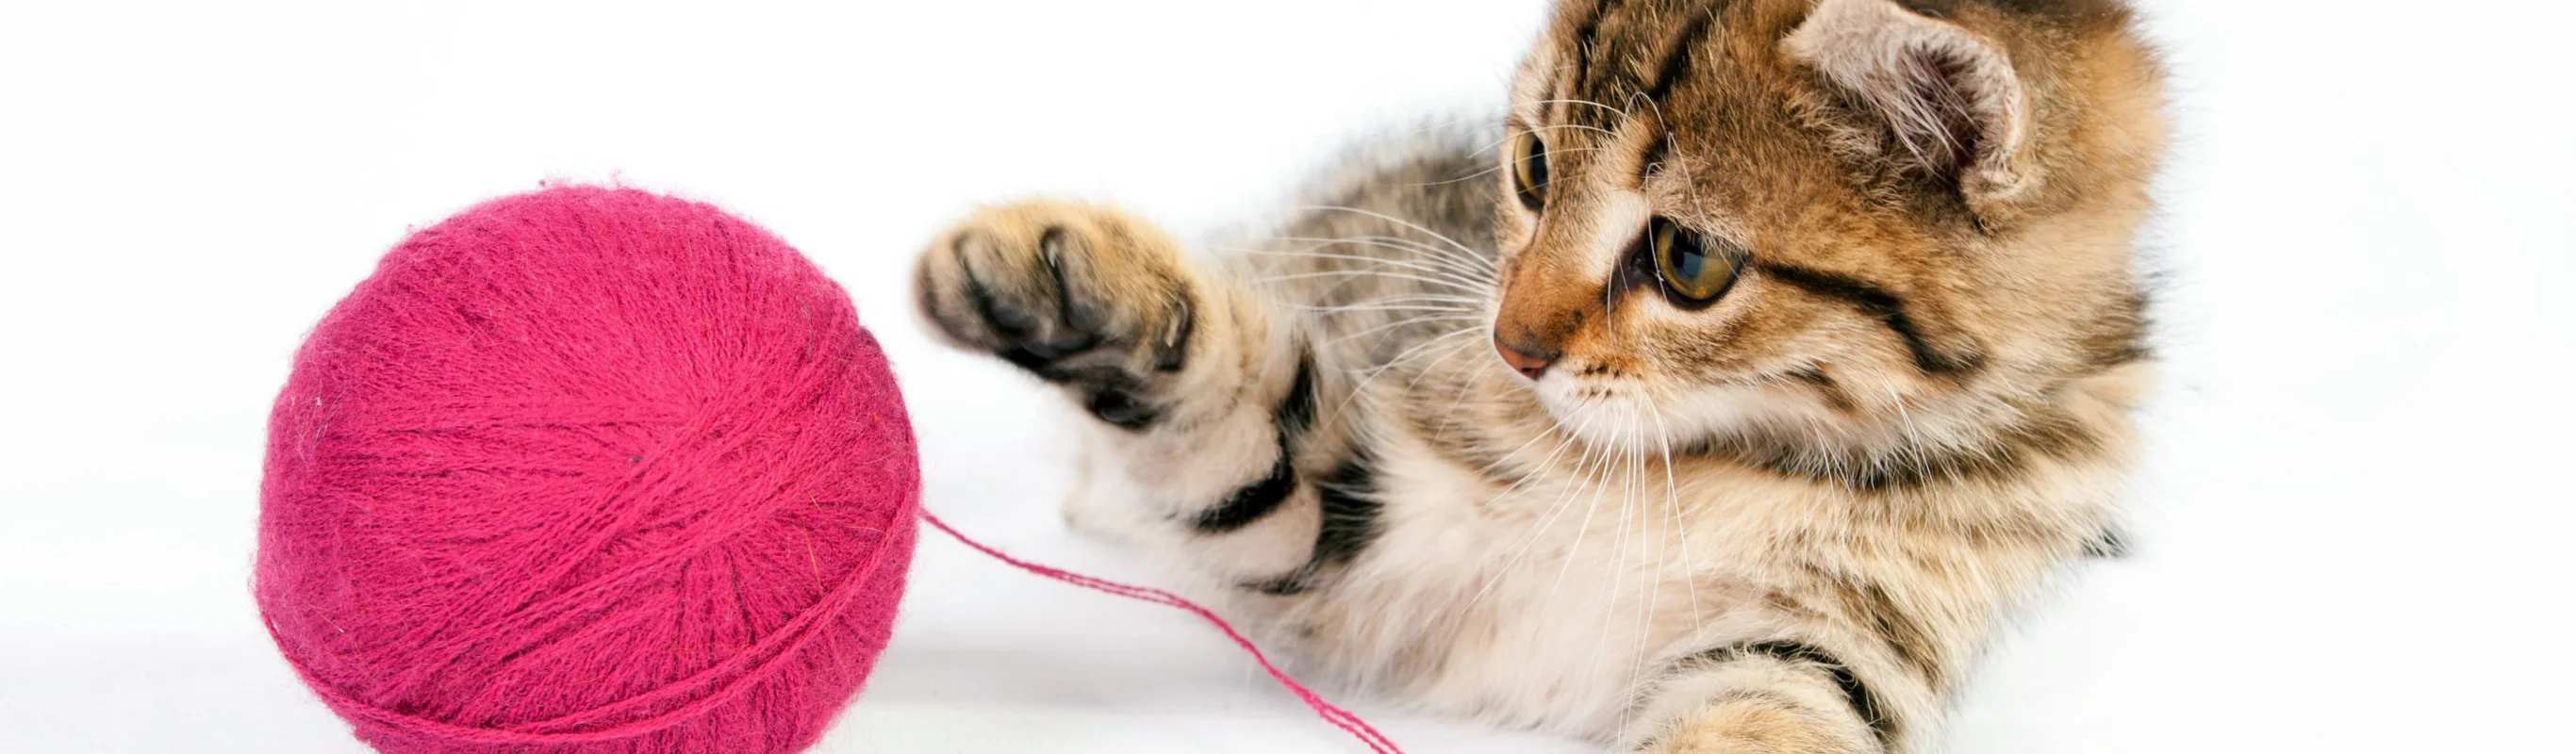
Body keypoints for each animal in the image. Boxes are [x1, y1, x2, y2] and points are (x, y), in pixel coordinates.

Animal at [916, 0, 2163, 746]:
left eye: (1688, 260)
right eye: (1526, 168)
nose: (1509, 348)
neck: (1712, 454)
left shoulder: (1823, 646)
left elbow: (1760, 713)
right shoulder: (1355, 516)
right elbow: (1239, 415)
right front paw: (1046, 269)